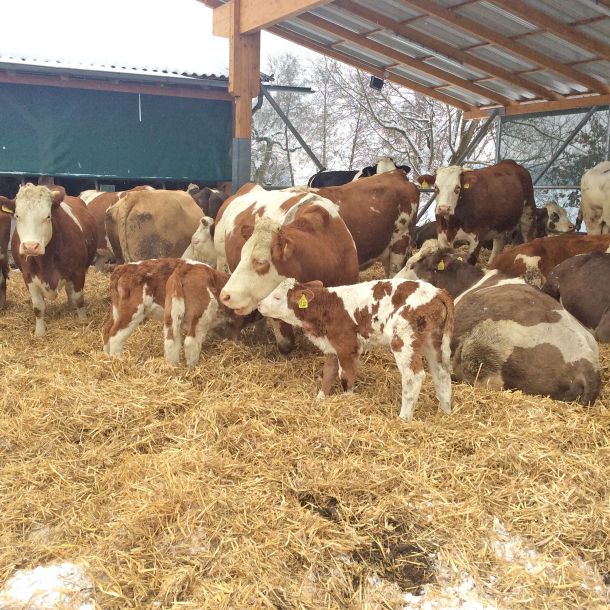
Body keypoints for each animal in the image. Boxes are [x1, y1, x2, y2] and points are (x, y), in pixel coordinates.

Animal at [9, 183, 96, 334]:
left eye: (48, 216)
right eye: (17, 215)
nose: (30, 246)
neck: (47, 262)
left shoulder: (78, 271)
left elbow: (79, 298)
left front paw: (83, 321)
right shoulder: (28, 276)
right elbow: (38, 307)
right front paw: (39, 332)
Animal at [256, 274, 452, 418]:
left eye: (277, 297)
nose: (258, 304)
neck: (327, 307)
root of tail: (437, 292)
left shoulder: (346, 346)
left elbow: (345, 376)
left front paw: (347, 402)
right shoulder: (332, 347)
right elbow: (328, 373)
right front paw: (320, 399)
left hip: (404, 341)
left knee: (413, 376)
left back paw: (403, 418)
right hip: (434, 341)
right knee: (441, 373)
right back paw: (446, 412)